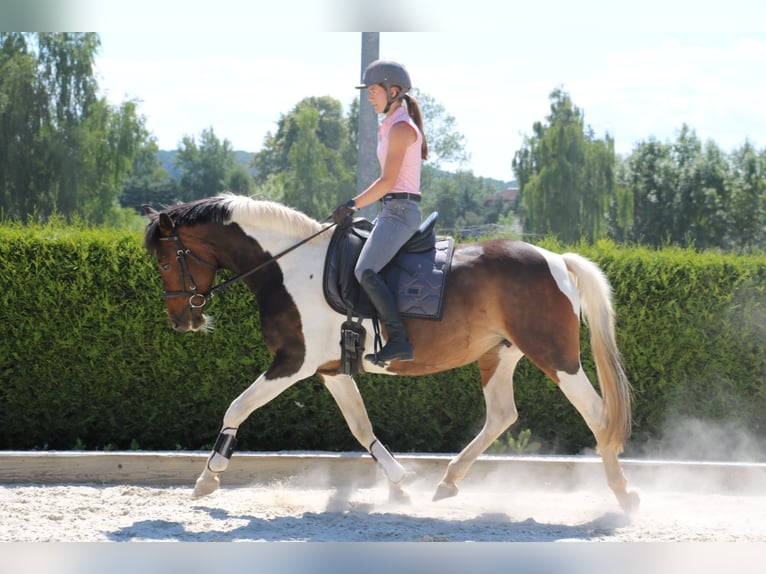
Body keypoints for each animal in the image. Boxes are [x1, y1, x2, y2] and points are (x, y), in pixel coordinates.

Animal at [143, 193, 639, 513]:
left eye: (166, 262)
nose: (182, 321)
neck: (288, 266)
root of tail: (556, 260)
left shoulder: (293, 363)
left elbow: (237, 406)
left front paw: (209, 475)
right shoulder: (330, 370)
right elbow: (361, 427)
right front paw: (400, 485)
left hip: (555, 355)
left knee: (597, 414)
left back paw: (623, 492)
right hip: (499, 355)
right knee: (502, 415)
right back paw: (448, 481)